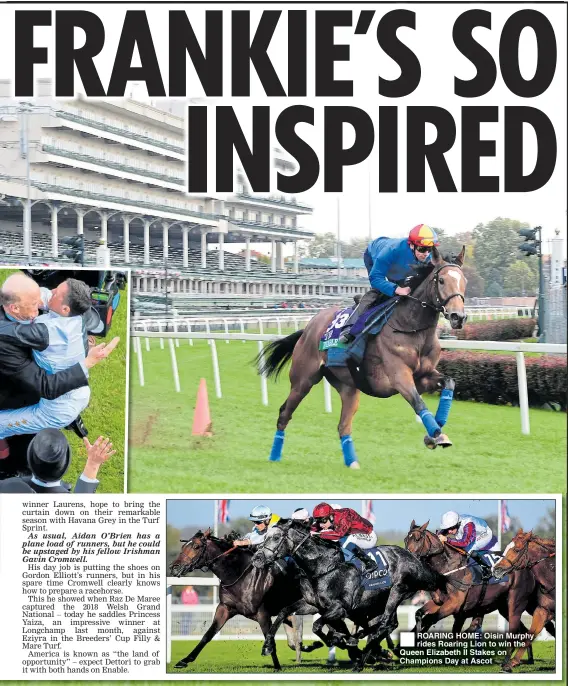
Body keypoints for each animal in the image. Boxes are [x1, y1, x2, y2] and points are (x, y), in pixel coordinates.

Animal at [169, 532, 320, 672]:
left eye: (196, 546)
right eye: (183, 546)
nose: (174, 567)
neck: (239, 575)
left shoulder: (262, 613)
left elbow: (269, 638)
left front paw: (277, 666)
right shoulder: (225, 608)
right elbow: (208, 634)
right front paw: (184, 660)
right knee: (295, 641)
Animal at [253, 520, 440, 672]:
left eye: (276, 537)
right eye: (265, 537)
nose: (257, 558)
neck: (323, 567)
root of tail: (415, 559)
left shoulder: (340, 608)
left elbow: (317, 626)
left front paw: (343, 641)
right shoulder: (313, 604)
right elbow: (284, 612)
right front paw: (267, 646)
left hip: (397, 591)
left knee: (384, 624)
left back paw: (361, 658)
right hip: (380, 601)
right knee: (387, 624)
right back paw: (365, 647)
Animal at [258, 246, 466, 468]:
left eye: (464, 280)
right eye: (441, 280)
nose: (458, 317)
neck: (410, 327)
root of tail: (308, 328)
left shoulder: (423, 377)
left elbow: (449, 382)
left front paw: (434, 434)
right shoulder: (399, 376)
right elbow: (419, 403)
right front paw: (437, 434)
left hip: (348, 387)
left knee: (343, 426)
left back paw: (353, 464)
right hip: (303, 380)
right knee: (284, 413)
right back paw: (274, 456)